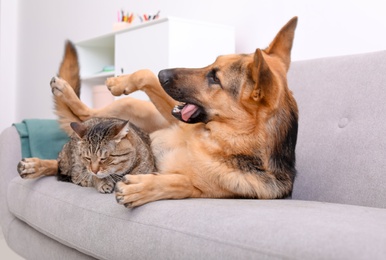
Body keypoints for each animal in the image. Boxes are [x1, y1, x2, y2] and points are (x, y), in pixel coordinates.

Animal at [18, 16, 298, 207]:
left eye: (215, 78)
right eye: (212, 63)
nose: (164, 72)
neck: (221, 140)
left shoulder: (206, 190)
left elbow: (179, 182)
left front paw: (141, 188)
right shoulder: (176, 119)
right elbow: (145, 75)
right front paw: (121, 81)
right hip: (127, 107)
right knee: (85, 118)